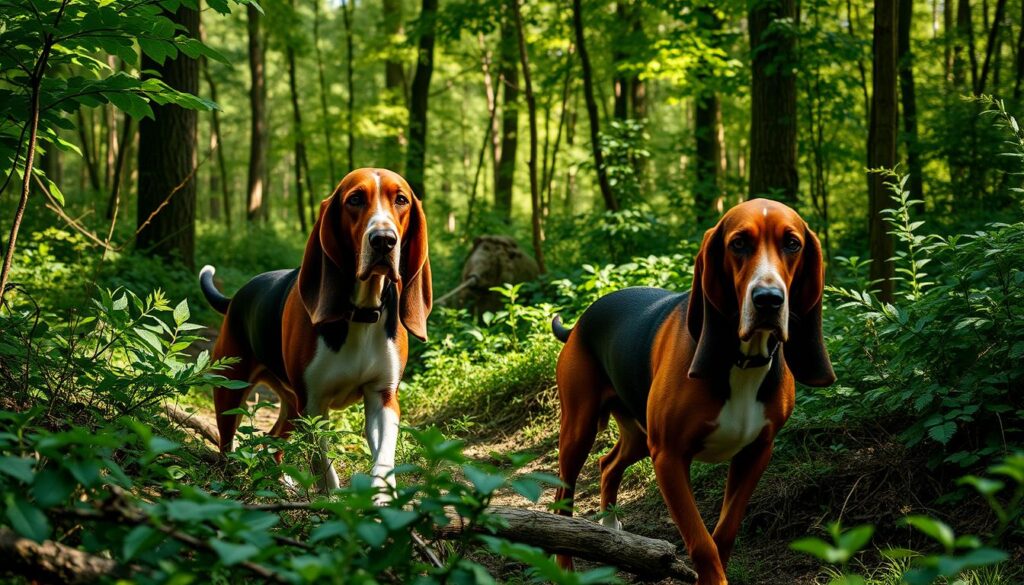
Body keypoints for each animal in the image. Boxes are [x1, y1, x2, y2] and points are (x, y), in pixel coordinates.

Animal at [199, 166, 428, 495]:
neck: (361, 313)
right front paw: (332, 497)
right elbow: (322, 464)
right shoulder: (313, 404)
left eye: (401, 200)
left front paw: (383, 500)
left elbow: (384, 459)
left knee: (272, 441)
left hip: (292, 406)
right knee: (227, 444)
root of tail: (236, 297)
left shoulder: (383, 396)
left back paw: (282, 481)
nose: (384, 240)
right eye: (355, 199)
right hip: (231, 390)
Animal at [552, 198, 831, 581]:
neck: (741, 360)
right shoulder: (669, 457)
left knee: (608, 465)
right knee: (562, 503)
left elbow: (723, 534)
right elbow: (701, 544)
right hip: (578, 430)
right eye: (738, 243)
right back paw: (564, 564)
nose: (769, 300)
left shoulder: (757, 452)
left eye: (792, 244)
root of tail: (580, 321)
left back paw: (610, 531)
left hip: (639, 437)